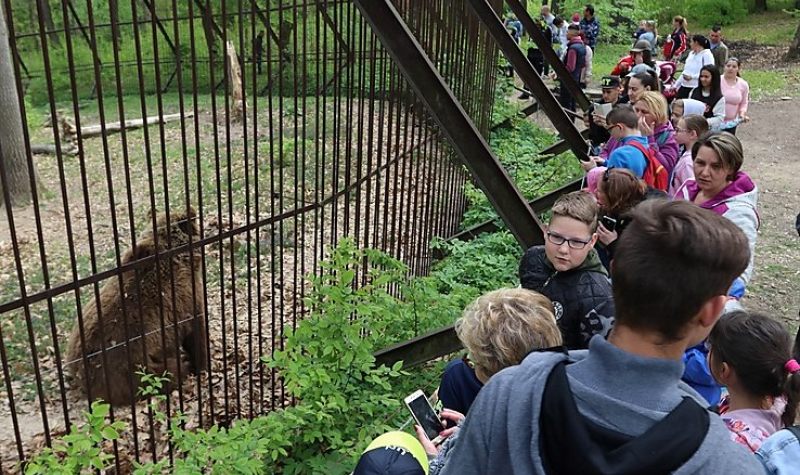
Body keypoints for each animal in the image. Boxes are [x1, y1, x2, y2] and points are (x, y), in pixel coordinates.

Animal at [65, 208, 208, 406]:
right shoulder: (186, 298)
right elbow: (197, 334)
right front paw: (202, 365)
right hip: (134, 368)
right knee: (166, 372)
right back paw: (183, 364)